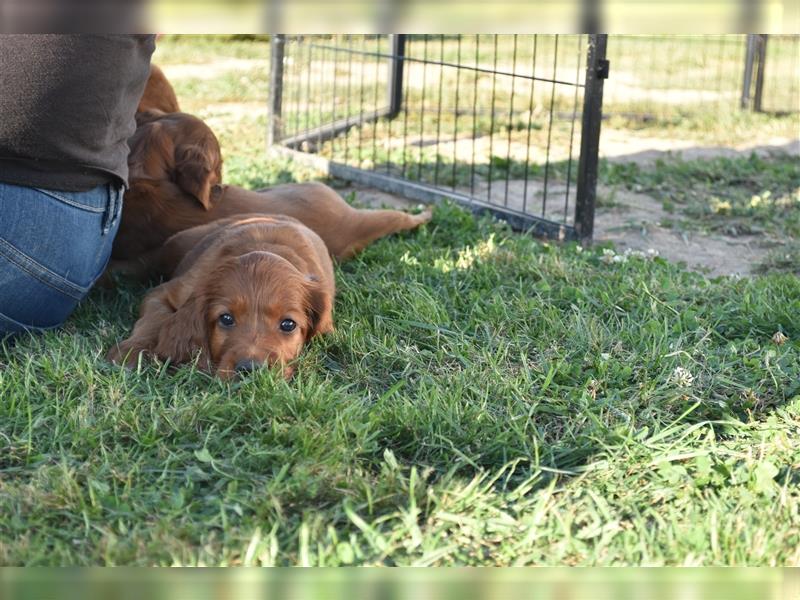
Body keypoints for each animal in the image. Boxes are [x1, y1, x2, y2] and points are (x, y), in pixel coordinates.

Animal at [107, 214, 334, 380]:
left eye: (288, 324)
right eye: (226, 319)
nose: (250, 369)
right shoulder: (165, 292)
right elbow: (153, 319)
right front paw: (131, 351)